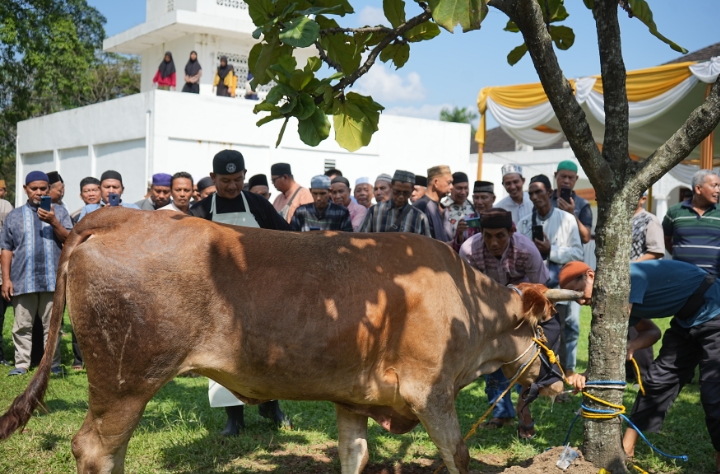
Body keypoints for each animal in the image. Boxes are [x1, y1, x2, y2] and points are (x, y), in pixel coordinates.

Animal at [0, 210, 572, 474]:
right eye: (549, 325)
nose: (562, 382)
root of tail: (118, 215)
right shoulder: (430, 392)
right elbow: (458, 454)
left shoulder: (353, 398)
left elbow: (355, 454)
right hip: (124, 380)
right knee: (96, 447)